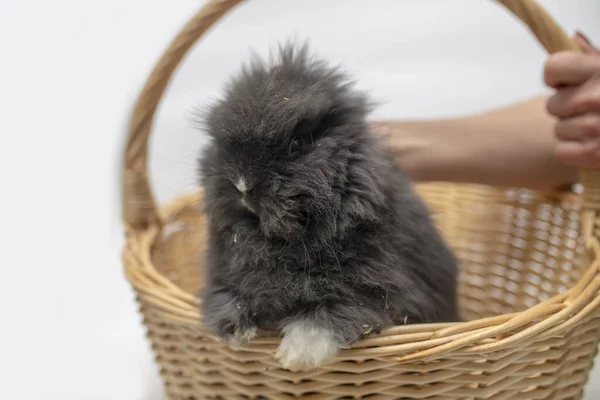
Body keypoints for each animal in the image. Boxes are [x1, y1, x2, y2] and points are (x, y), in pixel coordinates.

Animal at [197, 42, 460, 370]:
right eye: (222, 147)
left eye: (296, 144)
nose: (242, 185)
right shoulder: (222, 274)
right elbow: (225, 297)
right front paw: (236, 333)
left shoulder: (376, 291)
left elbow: (327, 315)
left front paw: (294, 355)